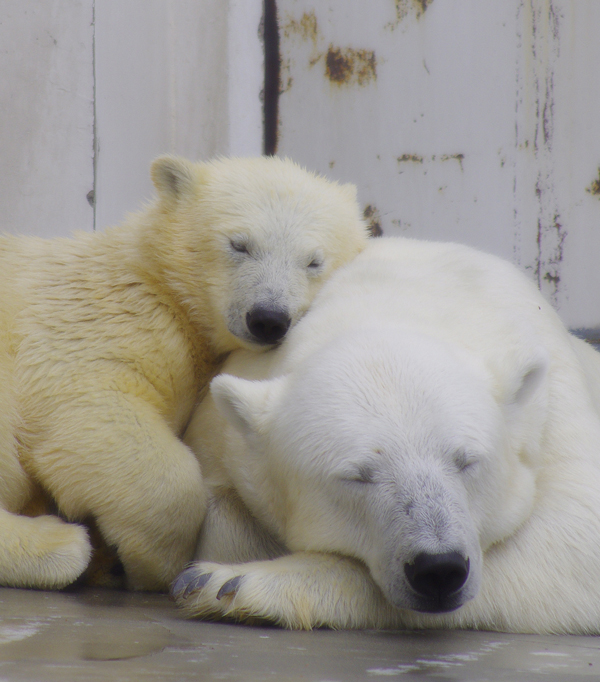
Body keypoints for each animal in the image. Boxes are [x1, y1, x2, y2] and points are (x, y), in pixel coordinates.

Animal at [0, 154, 368, 588]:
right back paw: (60, 544)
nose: (268, 318)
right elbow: (93, 403)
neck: (157, 284)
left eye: (313, 261)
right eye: (239, 244)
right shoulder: (90, 322)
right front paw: (150, 563)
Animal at [175, 235, 600, 632]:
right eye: (358, 476)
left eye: (466, 461)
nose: (438, 568)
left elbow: (576, 537)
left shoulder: (554, 406)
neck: (402, 301)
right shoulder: (223, 432)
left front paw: (230, 581)